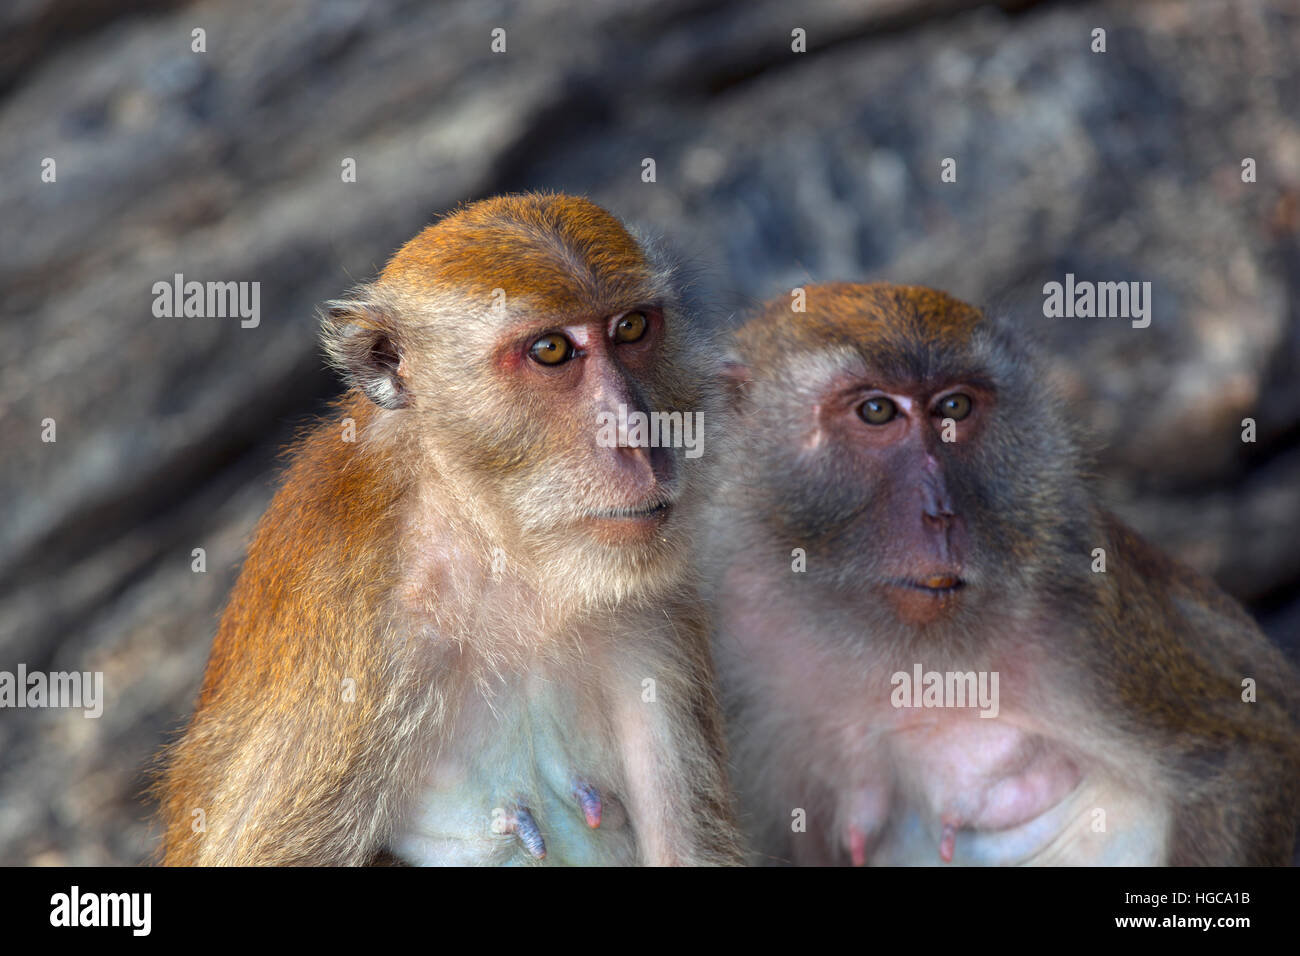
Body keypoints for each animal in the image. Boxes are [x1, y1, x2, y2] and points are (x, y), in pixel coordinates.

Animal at [154, 195, 743, 868]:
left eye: (632, 328)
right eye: (551, 350)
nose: (640, 438)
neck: (496, 551)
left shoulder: (653, 620)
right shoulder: (356, 640)